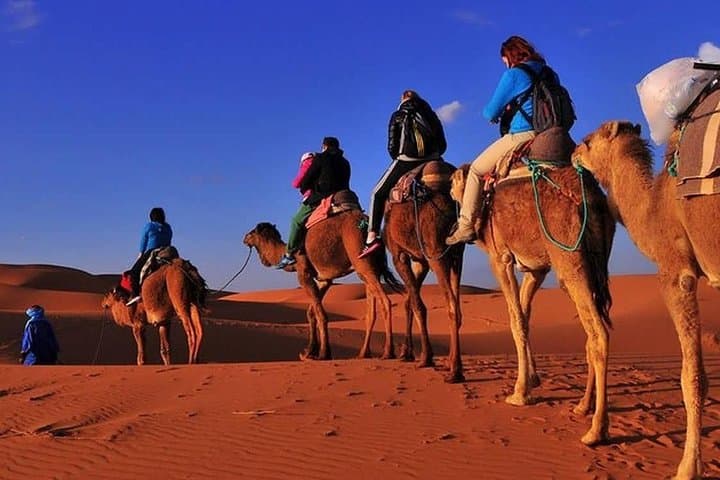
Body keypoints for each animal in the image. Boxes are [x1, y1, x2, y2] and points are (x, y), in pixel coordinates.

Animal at [243, 210, 404, 360]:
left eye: (252, 232)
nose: (244, 238)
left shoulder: (303, 273)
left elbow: (320, 314)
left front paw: (323, 353)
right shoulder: (324, 279)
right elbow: (311, 312)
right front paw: (309, 352)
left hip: (362, 260)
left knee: (385, 301)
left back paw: (388, 352)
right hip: (368, 267)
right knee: (371, 311)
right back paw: (363, 354)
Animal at [377, 160, 466, 383]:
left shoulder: (400, 255)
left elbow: (418, 305)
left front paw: (425, 357)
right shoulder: (420, 259)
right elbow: (409, 302)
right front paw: (406, 352)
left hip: (436, 253)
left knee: (451, 305)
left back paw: (455, 371)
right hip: (456, 254)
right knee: (457, 304)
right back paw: (452, 363)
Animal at [450, 154, 616, 447]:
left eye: (454, 181)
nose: (448, 185)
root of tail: (592, 199)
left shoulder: (501, 258)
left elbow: (515, 320)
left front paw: (519, 393)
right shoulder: (537, 269)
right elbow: (525, 316)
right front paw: (533, 379)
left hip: (569, 258)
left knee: (598, 333)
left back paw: (596, 430)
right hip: (594, 265)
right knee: (591, 330)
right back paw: (582, 406)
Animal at [573, 119, 719, 480]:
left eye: (588, 140)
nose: (572, 155)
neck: (654, 207)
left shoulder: (676, 273)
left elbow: (692, 378)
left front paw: (687, 469)